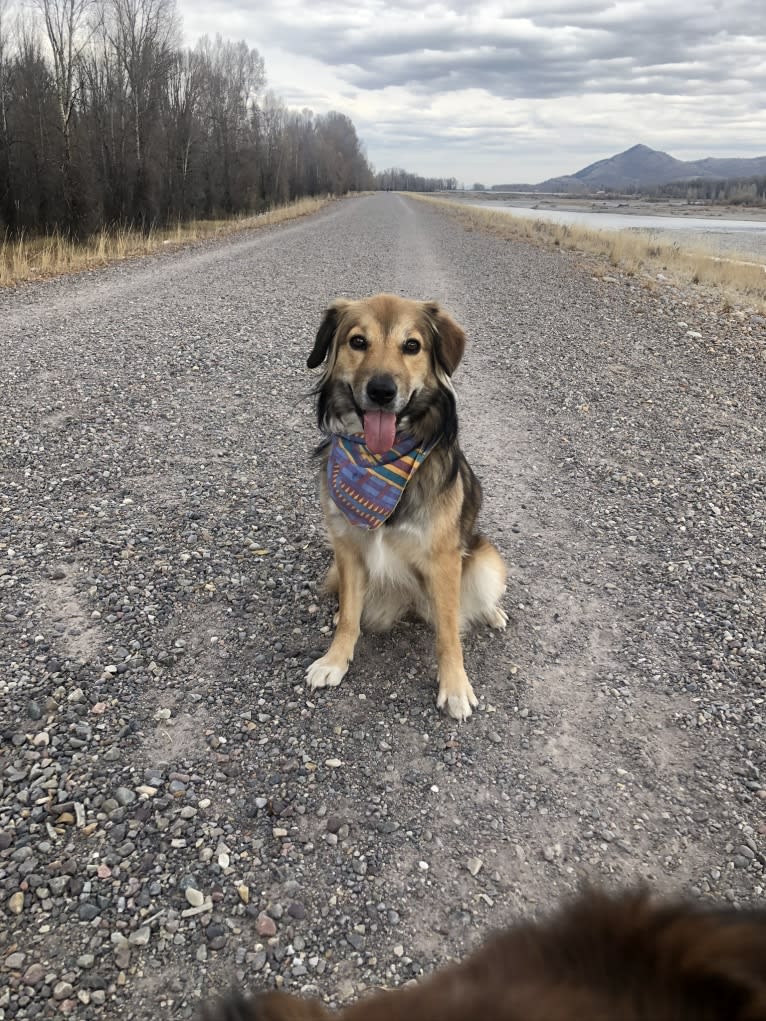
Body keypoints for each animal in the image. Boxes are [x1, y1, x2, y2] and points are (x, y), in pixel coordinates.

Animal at [304, 292, 510, 722]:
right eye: (358, 341)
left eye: (411, 346)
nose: (381, 390)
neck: (381, 463)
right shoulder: (348, 548)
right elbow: (350, 617)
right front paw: (335, 659)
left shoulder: (444, 559)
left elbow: (448, 633)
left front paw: (455, 687)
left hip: (484, 558)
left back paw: (493, 612)